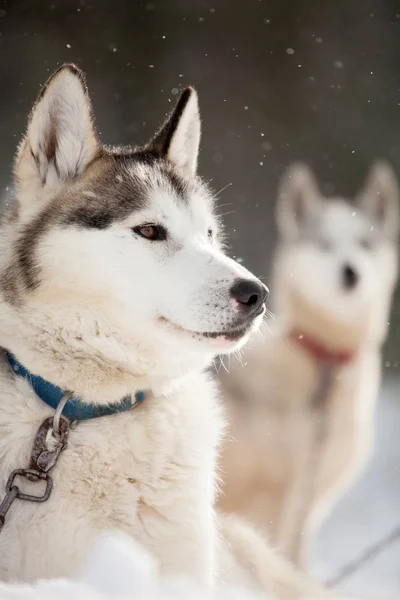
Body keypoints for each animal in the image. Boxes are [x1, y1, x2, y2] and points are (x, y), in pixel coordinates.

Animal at [220, 163, 398, 568]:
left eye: (365, 244)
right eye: (324, 244)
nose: (351, 272)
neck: (325, 361)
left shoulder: (308, 506)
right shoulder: (279, 501)